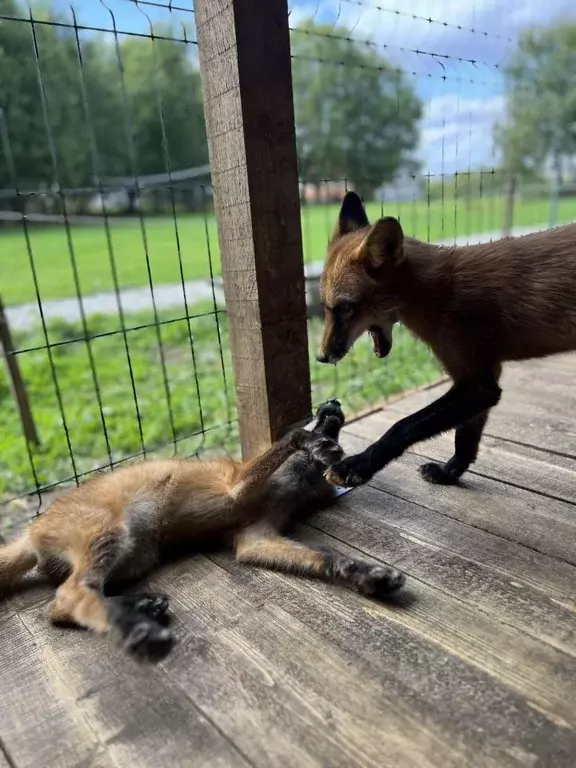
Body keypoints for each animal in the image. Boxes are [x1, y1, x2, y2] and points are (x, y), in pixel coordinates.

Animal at [0, 402, 404, 660]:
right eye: (323, 420)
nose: (333, 402)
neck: (287, 489)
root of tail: (32, 529)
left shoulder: (255, 538)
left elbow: (325, 556)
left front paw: (364, 574)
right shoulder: (236, 486)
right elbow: (289, 439)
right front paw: (306, 440)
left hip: (135, 556)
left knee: (62, 606)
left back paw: (139, 606)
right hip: (112, 536)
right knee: (68, 596)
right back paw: (137, 625)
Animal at [318, 192, 576, 488]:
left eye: (344, 308)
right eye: (325, 308)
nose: (321, 357)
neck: (438, 294)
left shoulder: (477, 386)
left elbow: (403, 426)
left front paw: (358, 464)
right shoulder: (484, 375)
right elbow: (465, 438)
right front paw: (449, 472)